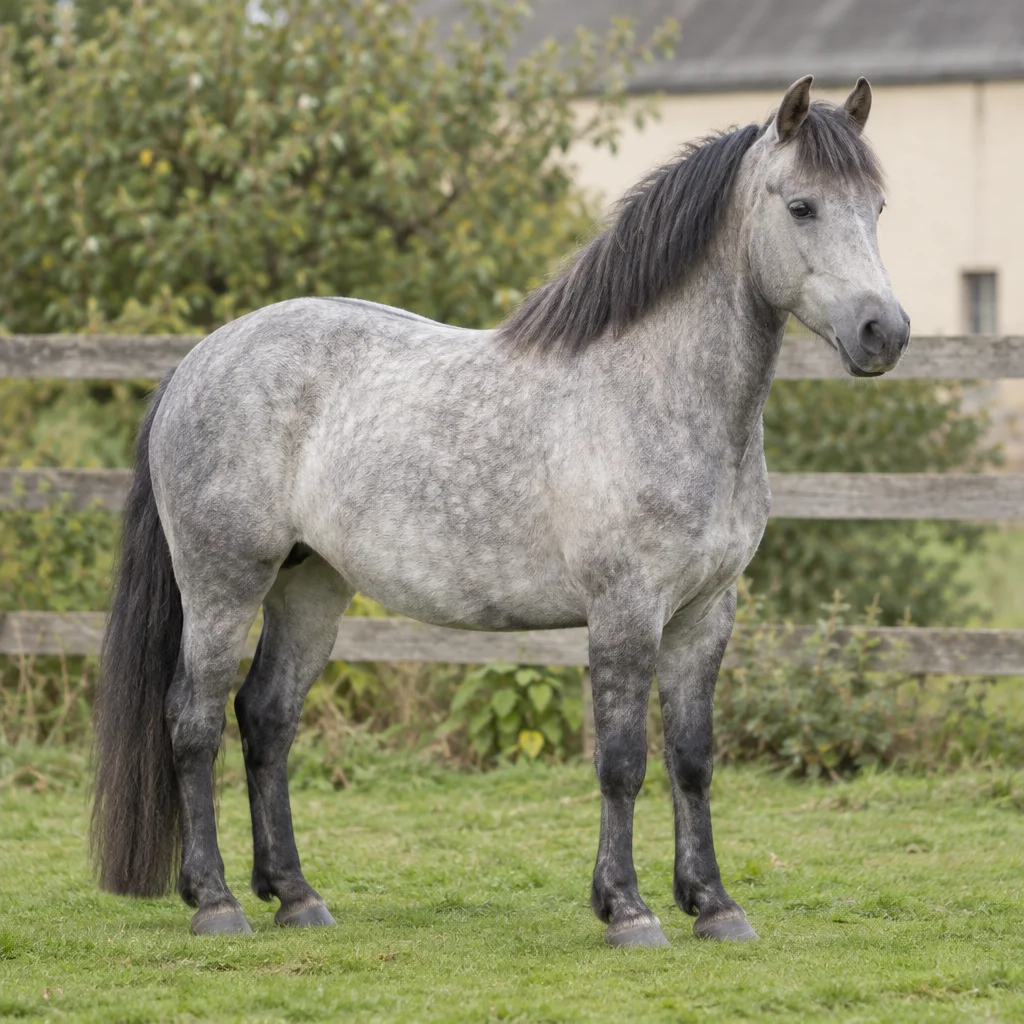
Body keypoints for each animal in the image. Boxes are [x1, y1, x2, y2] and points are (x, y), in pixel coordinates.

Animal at [91, 75, 909, 945]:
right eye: (802, 207)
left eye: (877, 206)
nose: (883, 332)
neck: (658, 393)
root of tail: (198, 361)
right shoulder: (625, 610)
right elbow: (622, 761)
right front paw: (627, 909)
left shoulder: (705, 613)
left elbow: (691, 757)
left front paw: (715, 905)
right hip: (222, 584)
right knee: (194, 720)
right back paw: (215, 902)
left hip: (309, 585)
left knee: (267, 718)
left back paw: (297, 895)